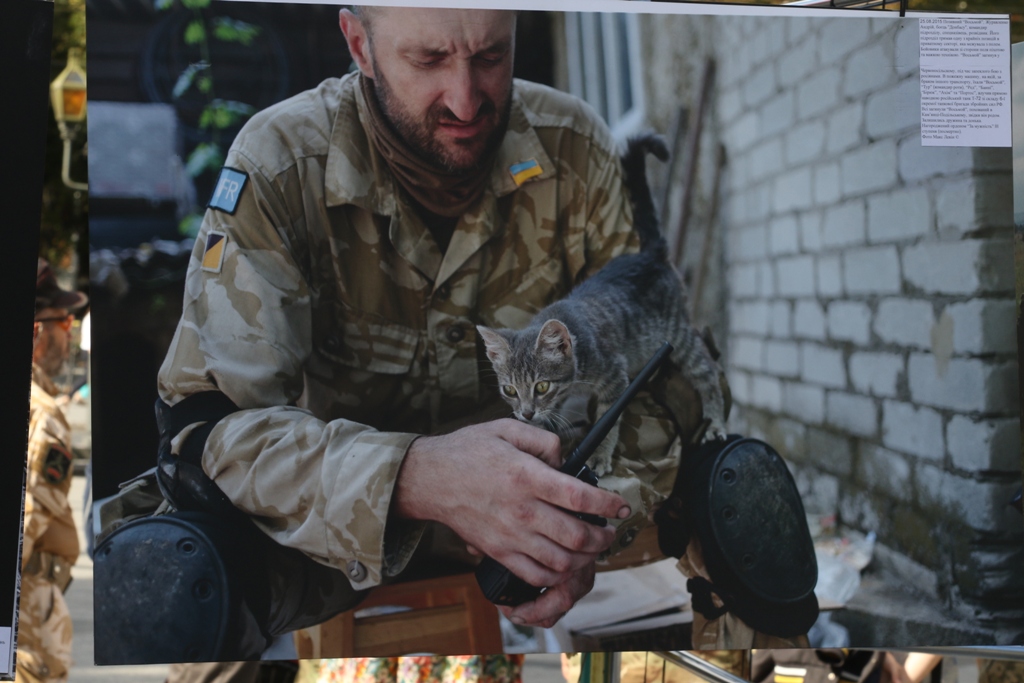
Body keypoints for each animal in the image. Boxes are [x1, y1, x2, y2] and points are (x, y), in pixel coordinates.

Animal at [475, 133, 724, 475]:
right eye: (509, 390)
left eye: (541, 386)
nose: (525, 413)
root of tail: (650, 253)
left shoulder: (615, 376)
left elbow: (607, 419)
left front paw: (599, 455)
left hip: (678, 332)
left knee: (707, 367)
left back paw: (715, 420)